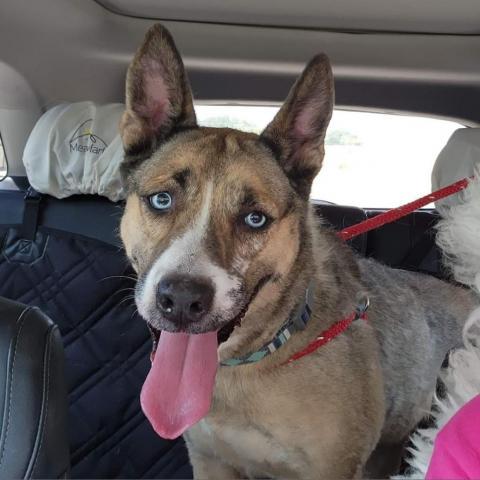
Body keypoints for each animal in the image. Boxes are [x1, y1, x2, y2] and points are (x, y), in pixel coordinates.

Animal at [117, 24, 476, 478]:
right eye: (161, 200)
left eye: (255, 219)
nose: (181, 300)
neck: (250, 362)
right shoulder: (210, 460)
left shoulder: (332, 469)